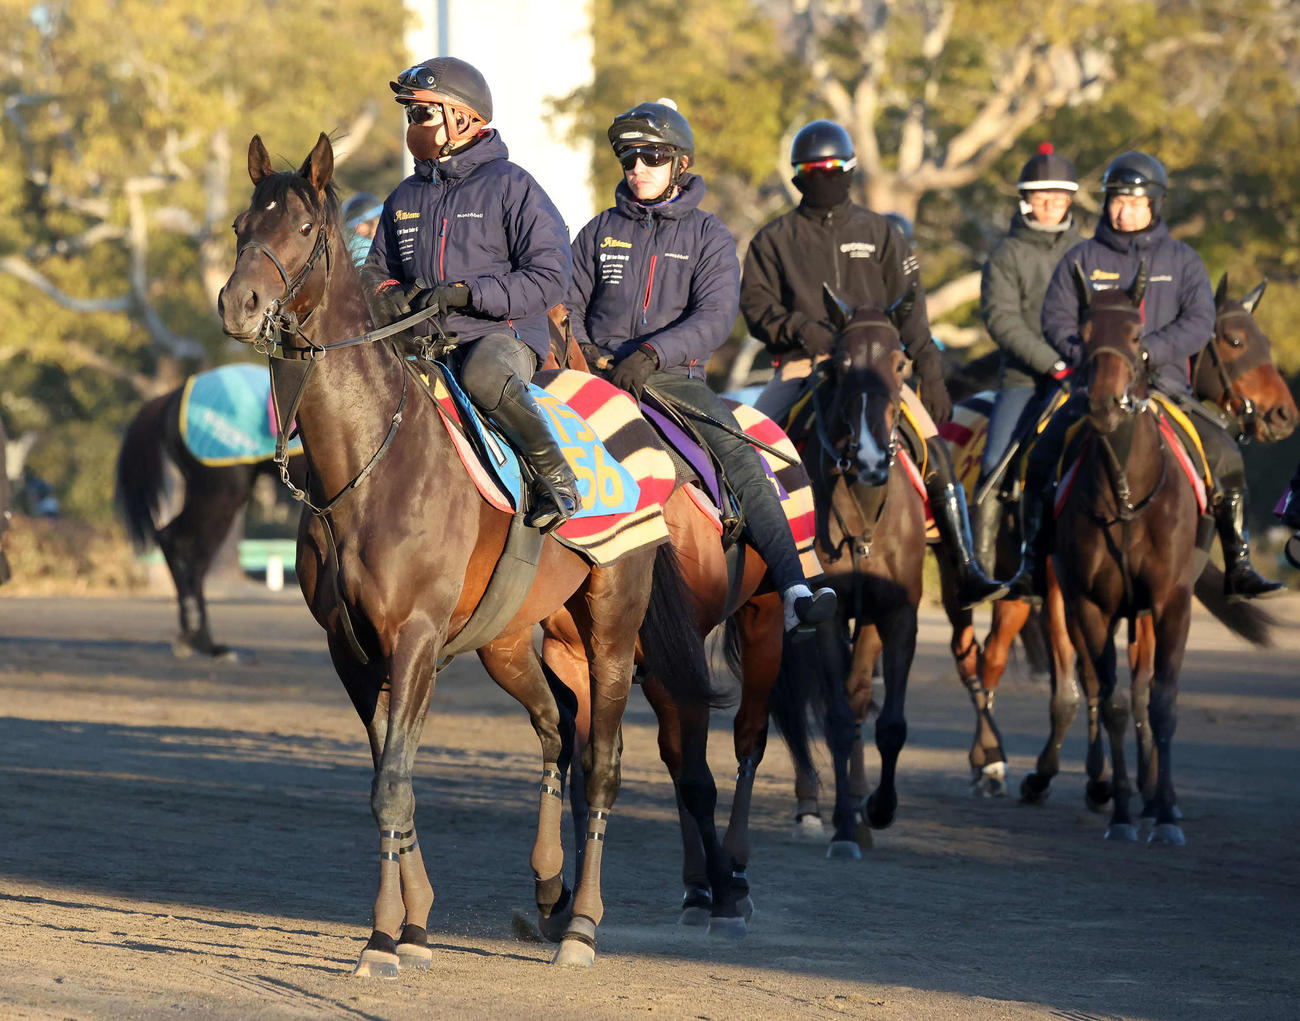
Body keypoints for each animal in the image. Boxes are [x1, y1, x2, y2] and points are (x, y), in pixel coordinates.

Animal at [217, 132, 708, 973]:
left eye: (305, 229)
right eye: (242, 223)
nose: (237, 303)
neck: (369, 463)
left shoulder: (414, 636)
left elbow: (393, 783)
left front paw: (383, 936)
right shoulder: (353, 649)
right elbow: (391, 775)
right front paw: (414, 925)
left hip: (613, 622)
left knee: (602, 760)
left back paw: (580, 925)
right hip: (508, 641)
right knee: (556, 728)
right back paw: (548, 886)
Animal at [938, 273, 1294, 797]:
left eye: (1262, 338)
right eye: (1235, 340)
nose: (1284, 414)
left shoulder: (1146, 595)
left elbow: (1130, 681)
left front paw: (1130, 776)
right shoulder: (1065, 588)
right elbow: (1081, 677)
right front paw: (1065, 773)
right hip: (967, 578)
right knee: (980, 659)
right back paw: (990, 762)